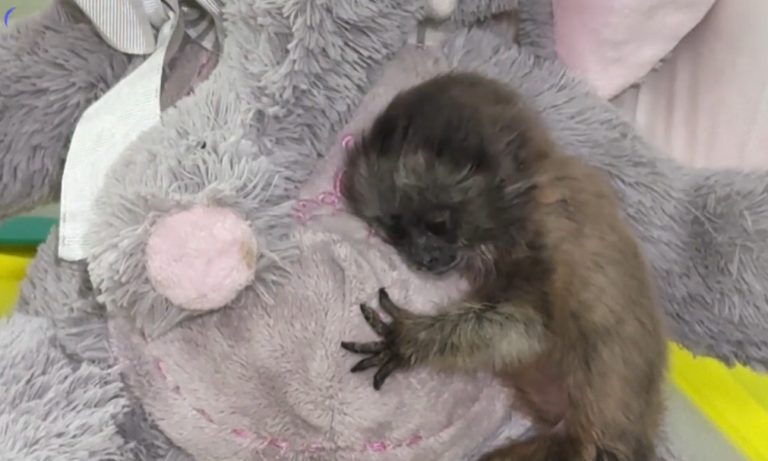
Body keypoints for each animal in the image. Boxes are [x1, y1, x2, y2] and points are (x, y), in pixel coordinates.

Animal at [338, 72, 667, 461]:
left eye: (437, 224)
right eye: (397, 232)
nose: (422, 256)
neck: (518, 205)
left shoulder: (543, 234)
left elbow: (529, 332)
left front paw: (410, 340)